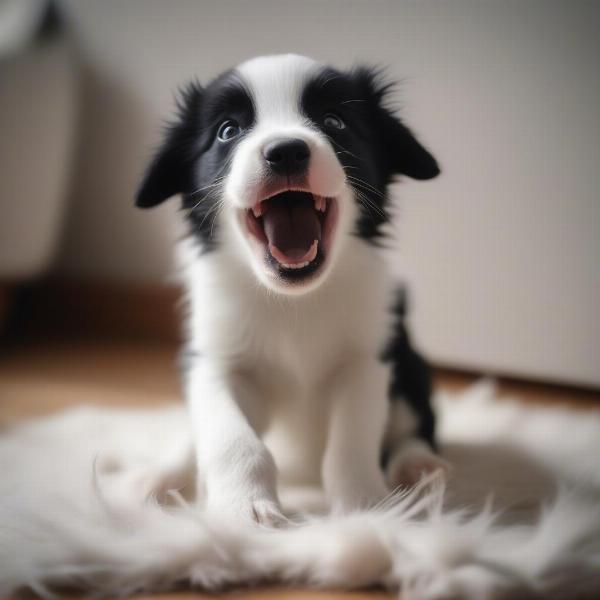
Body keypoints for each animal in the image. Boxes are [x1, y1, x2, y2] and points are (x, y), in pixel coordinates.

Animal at [136, 54, 446, 524]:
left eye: (334, 121)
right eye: (228, 130)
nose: (285, 151)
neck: (292, 301)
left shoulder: (366, 358)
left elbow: (352, 440)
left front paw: (366, 510)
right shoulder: (217, 360)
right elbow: (231, 437)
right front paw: (243, 509)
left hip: (410, 364)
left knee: (414, 425)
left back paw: (419, 466)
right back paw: (158, 477)